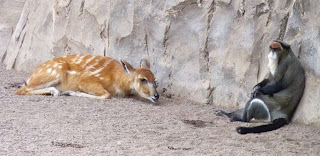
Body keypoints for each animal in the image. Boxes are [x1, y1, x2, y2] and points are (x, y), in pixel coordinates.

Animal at [15, 53, 160, 102]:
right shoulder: (85, 79)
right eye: (142, 79)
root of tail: (32, 75)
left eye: (155, 79)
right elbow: (107, 95)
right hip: (56, 71)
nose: (156, 96)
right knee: (20, 90)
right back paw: (55, 91)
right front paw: (71, 92)